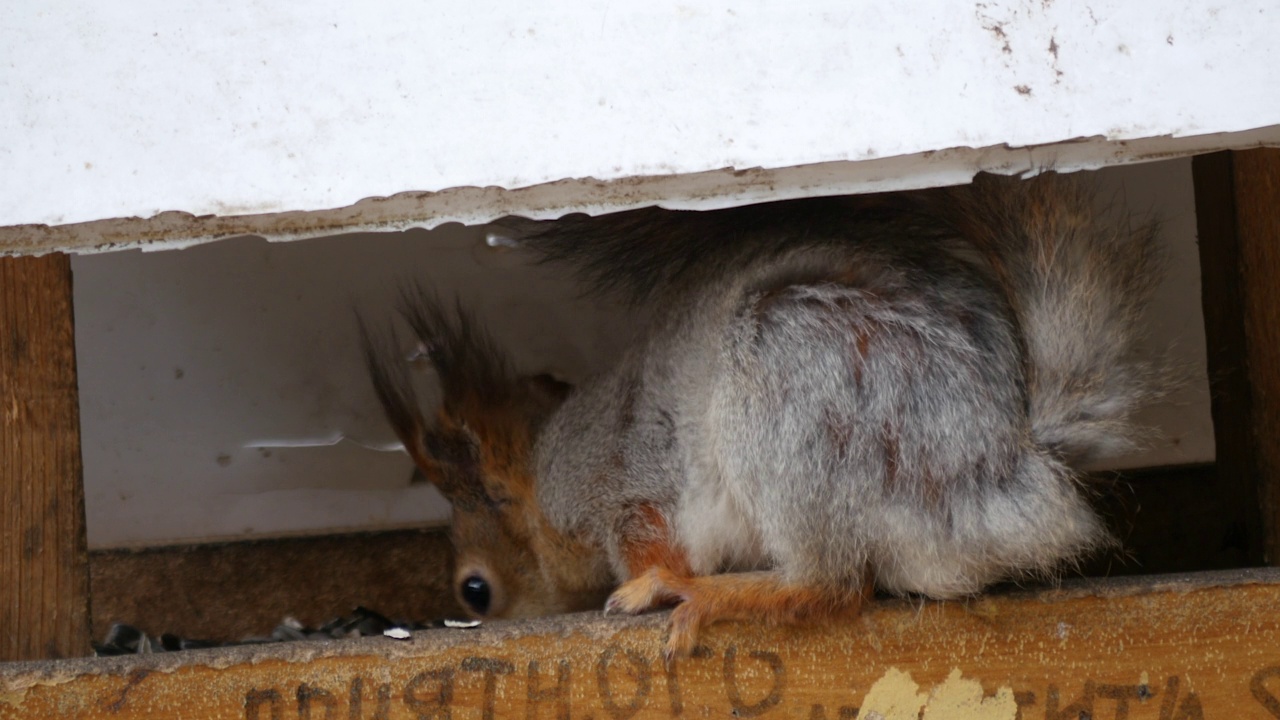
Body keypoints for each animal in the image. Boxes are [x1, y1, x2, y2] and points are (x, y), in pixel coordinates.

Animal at [358, 169, 1162, 655]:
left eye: (475, 591)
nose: (476, 621)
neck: (542, 470)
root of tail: (1008, 459)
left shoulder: (622, 487)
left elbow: (654, 539)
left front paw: (652, 583)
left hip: (801, 386)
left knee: (830, 585)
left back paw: (714, 595)